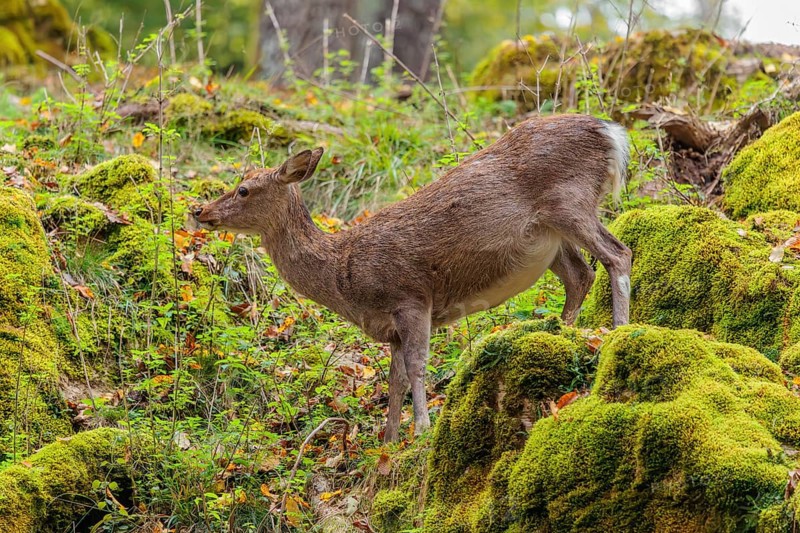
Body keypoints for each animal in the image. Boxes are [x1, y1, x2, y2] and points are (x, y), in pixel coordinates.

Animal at [194, 114, 632, 442]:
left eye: (244, 189)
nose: (200, 210)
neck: (343, 275)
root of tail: (612, 133)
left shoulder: (410, 298)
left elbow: (418, 366)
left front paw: (421, 429)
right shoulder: (390, 328)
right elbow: (395, 381)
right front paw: (387, 443)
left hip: (570, 201)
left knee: (618, 255)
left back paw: (617, 328)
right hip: (549, 239)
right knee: (580, 275)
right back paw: (564, 332)